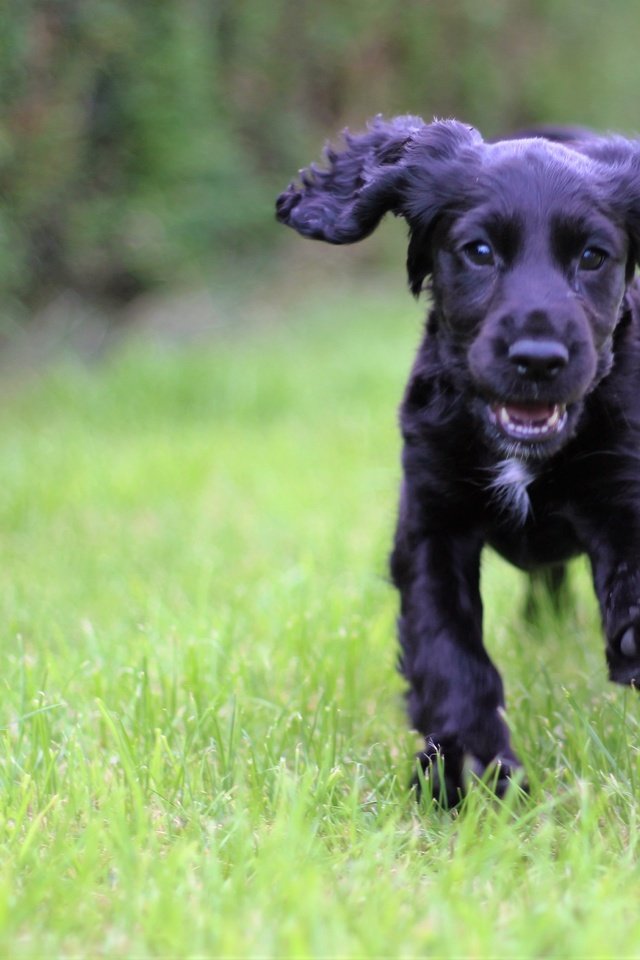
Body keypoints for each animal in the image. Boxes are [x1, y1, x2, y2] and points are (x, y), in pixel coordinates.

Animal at [276, 114, 640, 804]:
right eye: (479, 252)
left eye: (592, 257)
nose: (537, 359)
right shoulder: (430, 522)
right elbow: (447, 650)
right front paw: (471, 772)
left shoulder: (622, 482)